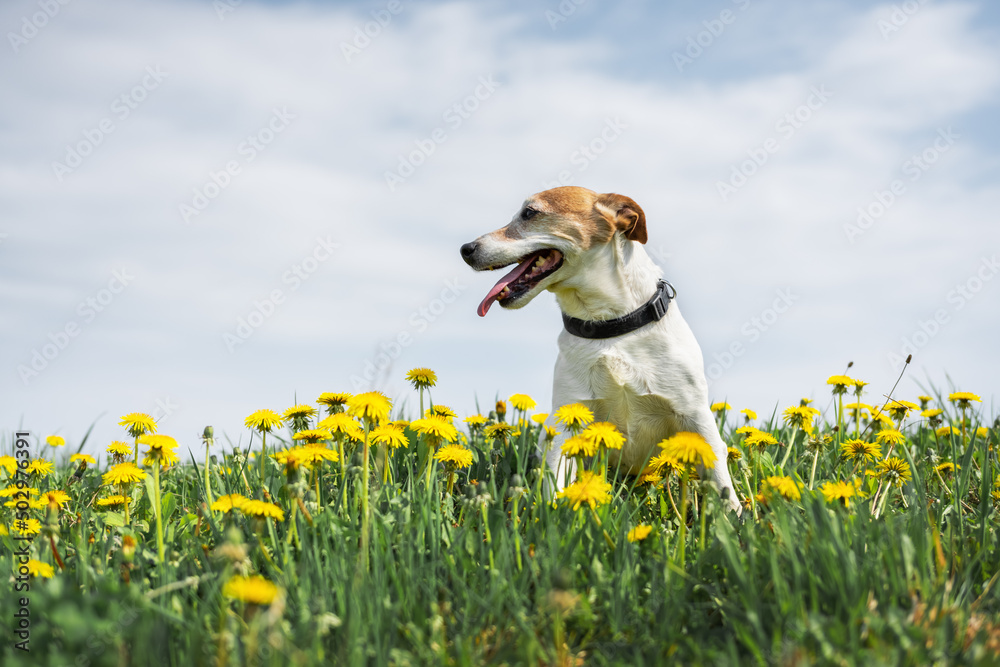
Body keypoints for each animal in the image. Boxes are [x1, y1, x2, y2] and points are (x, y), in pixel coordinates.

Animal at [460, 185, 744, 516]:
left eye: (529, 213)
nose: (466, 249)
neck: (609, 325)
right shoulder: (568, 420)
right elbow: (555, 484)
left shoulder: (695, 416)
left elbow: (721, 481)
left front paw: (733, 519)